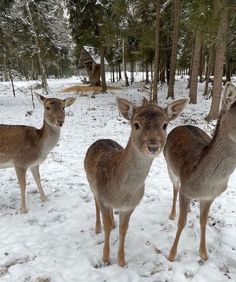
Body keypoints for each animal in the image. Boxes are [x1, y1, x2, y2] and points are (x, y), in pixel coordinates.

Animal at [84, 96, 189, 266]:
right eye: (136, 124)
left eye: (165, 125)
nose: (153, 146)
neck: (122, 192)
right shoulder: (103, 198)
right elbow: (107, 225)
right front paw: (105, 258)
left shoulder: (130, 206)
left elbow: (123, 229)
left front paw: (122, 261)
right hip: (91, 183)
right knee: (95, 203)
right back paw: (97, 227)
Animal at [165, 82, 236, 262]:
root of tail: (181, 125)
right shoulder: (185, 189)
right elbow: (182, 222)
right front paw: (172, 255)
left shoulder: (210, 197)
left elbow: (203, 222)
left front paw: (204, 254)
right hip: (170, 168)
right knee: (175, 188)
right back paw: (172, 214)